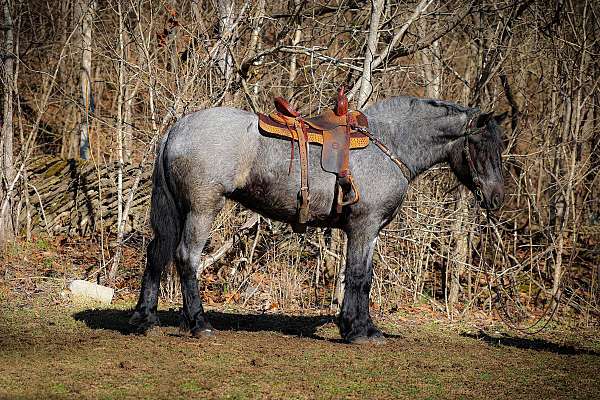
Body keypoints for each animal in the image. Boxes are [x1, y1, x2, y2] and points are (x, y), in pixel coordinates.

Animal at [130, 94, 506, 344]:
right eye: (481, 146)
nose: (497, 197)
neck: (388, 145)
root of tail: (177, 130)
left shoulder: (369, 232)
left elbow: (360, 277)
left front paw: (359, 326)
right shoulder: (364, 227)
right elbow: (359, 277)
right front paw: (359, 331)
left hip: (177, 210)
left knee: (156, 254)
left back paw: (144, 318)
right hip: (202, 209)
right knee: (186, 258)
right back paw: (199, 323)